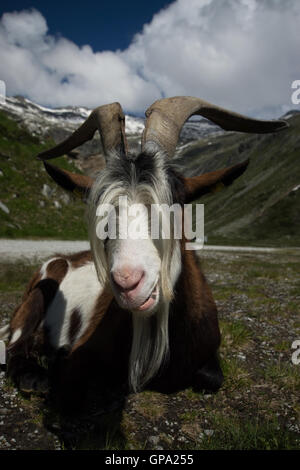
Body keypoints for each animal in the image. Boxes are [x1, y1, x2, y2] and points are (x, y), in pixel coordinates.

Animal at [2, 97, 288, 414]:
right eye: (103, 213)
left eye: (176, 204)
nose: (128, 283)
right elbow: (69, 391)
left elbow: (213, 377)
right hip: (39, 290)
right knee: (14, 344)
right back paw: (33, 375)